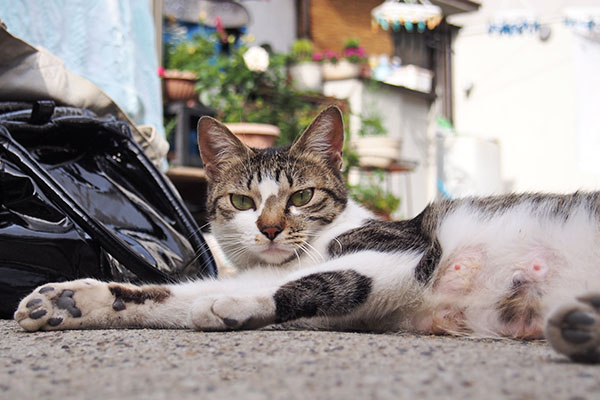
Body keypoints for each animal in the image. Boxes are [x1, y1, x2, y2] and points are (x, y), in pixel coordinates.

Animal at [12, 108, 600, 364]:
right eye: (243, 202)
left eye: (302, 196)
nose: (271, 229)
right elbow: (173, 295)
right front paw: (74, 300)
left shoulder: (402, 252)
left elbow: (319, 283)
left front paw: (232, 310)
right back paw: (578, 324)